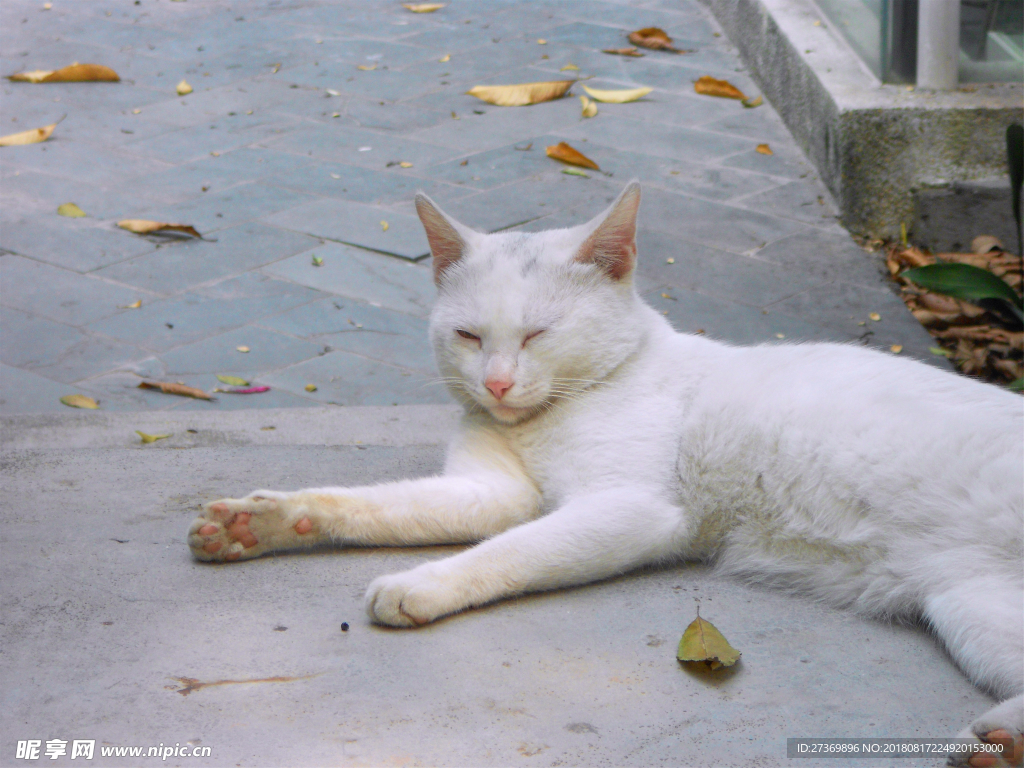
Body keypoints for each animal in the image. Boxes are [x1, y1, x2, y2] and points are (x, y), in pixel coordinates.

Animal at [192, 183, 1024, 765]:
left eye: (537, 334)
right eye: (468, 336)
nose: (496, 383)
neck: (544, 418)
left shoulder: (630, 509)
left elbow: (505, 552)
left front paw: (421, 585)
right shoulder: (490, 493)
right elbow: (378, 505)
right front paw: (261, 522)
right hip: (972, 608)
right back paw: (999, 744)